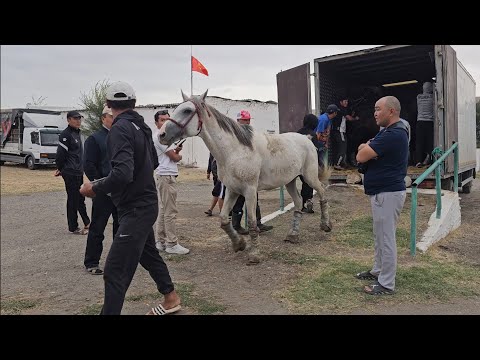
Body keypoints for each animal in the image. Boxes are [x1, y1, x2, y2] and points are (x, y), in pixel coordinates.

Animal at [159, 90, 332, 264]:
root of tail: (307, 139)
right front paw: (239, 244)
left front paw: (254, 254)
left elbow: (252, 222)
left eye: (187, 110)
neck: (235, 151)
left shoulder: (249, 191)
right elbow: (224, 219)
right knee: (298, 202)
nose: (161, 135)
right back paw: (293, 235)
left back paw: (326, 225)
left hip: (309, 177)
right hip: (289, 181)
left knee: (322, 192)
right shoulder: (232, 190)